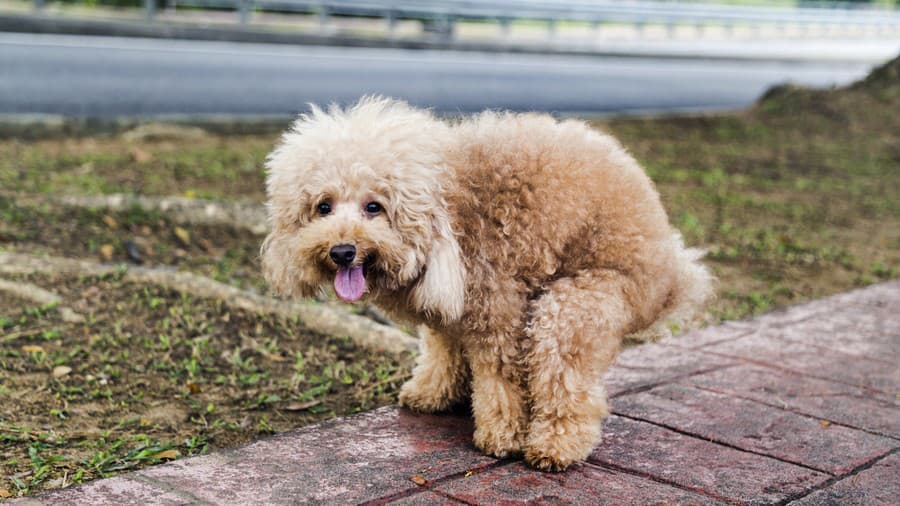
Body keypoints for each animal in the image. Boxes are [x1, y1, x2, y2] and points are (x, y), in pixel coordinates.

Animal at [258, 98, 712, 470]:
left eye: (374, 207)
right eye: (323, 207)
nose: (342, 251)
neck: (449, 204)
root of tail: (672, 274)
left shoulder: (498, 309)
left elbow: (501, 378)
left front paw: (502, 436)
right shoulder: (447, 308)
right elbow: (442, 349)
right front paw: (432, 393)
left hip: (578, 303)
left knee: (565, 376)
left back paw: (555, 446)